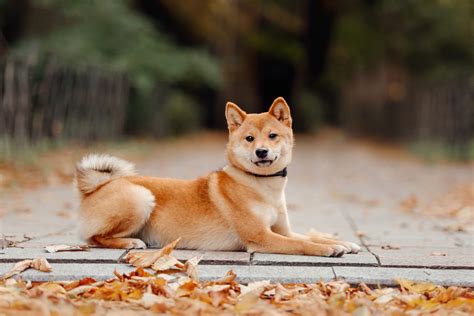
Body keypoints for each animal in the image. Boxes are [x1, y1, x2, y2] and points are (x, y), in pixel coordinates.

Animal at [76, 97, 360, 256]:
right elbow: (305, 245)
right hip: (141, 197)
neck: (261, 186)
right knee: (94, 238)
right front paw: (327, 248)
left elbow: (310, 236)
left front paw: (343, 243)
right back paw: (130, 242)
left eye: (272, 135)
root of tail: (96, 187)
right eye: (249, 138)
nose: (261, 151)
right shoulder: (261, 237)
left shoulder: (283, 231)